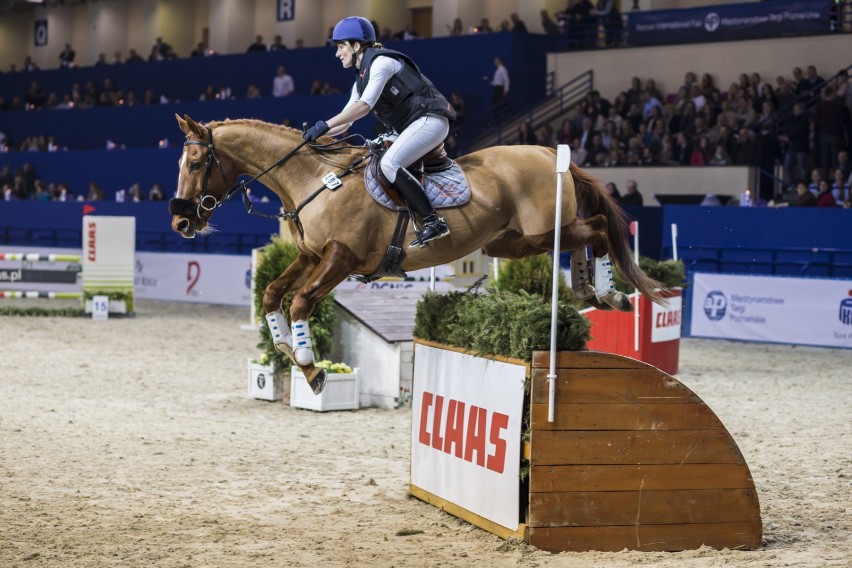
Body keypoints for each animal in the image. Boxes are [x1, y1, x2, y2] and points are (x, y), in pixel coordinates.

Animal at [170, 113, 664, 392]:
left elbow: (300, 302)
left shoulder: (340, 258)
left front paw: (311, 368)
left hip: (540, 232)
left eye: (195, 163)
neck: (313, 180)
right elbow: (273, 295)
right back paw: (589, 293)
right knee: (584, 236)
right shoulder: (311, 256)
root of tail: (546, 151)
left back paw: (609, 293)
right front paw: (289, 351)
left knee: (597, 229)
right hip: (513, 240)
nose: (181, 223)